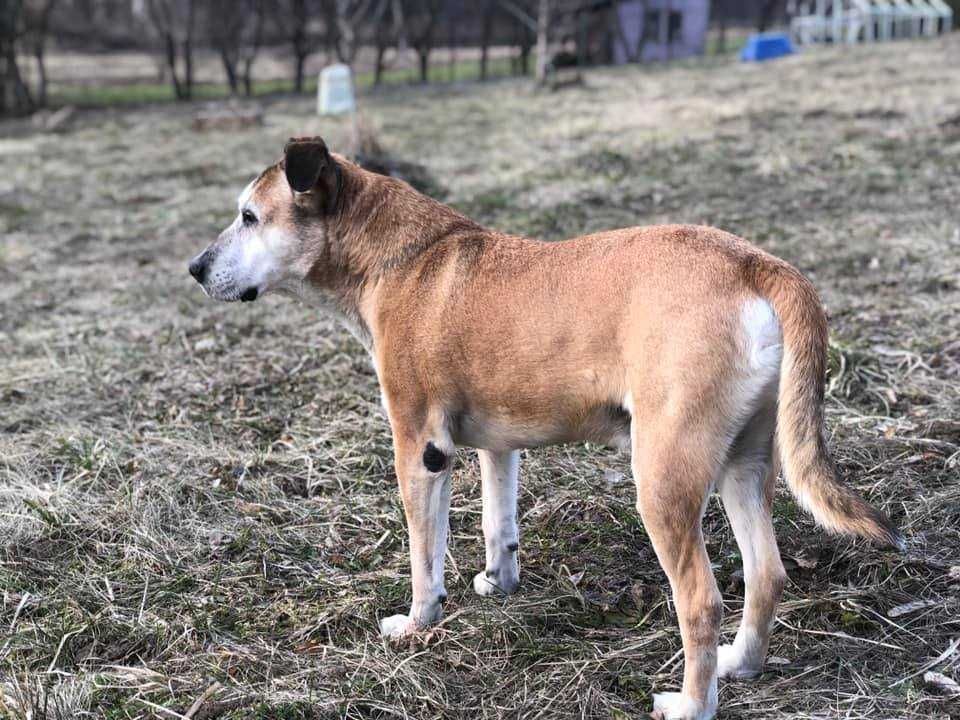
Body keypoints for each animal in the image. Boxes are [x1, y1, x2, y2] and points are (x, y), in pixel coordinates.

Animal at [188, 138, 900, 716]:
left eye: (250, 217)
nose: (194, 269)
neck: (399, 258)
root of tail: (754, 263)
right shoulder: (495, 447)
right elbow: (497, 521)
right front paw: (497, 582)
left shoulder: (419, 449)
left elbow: (425, 555)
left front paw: (418, 623)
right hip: (743, 464)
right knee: (766, 573)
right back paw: (740, 665)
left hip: (663, 475)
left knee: (701, 601)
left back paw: (691, 704)